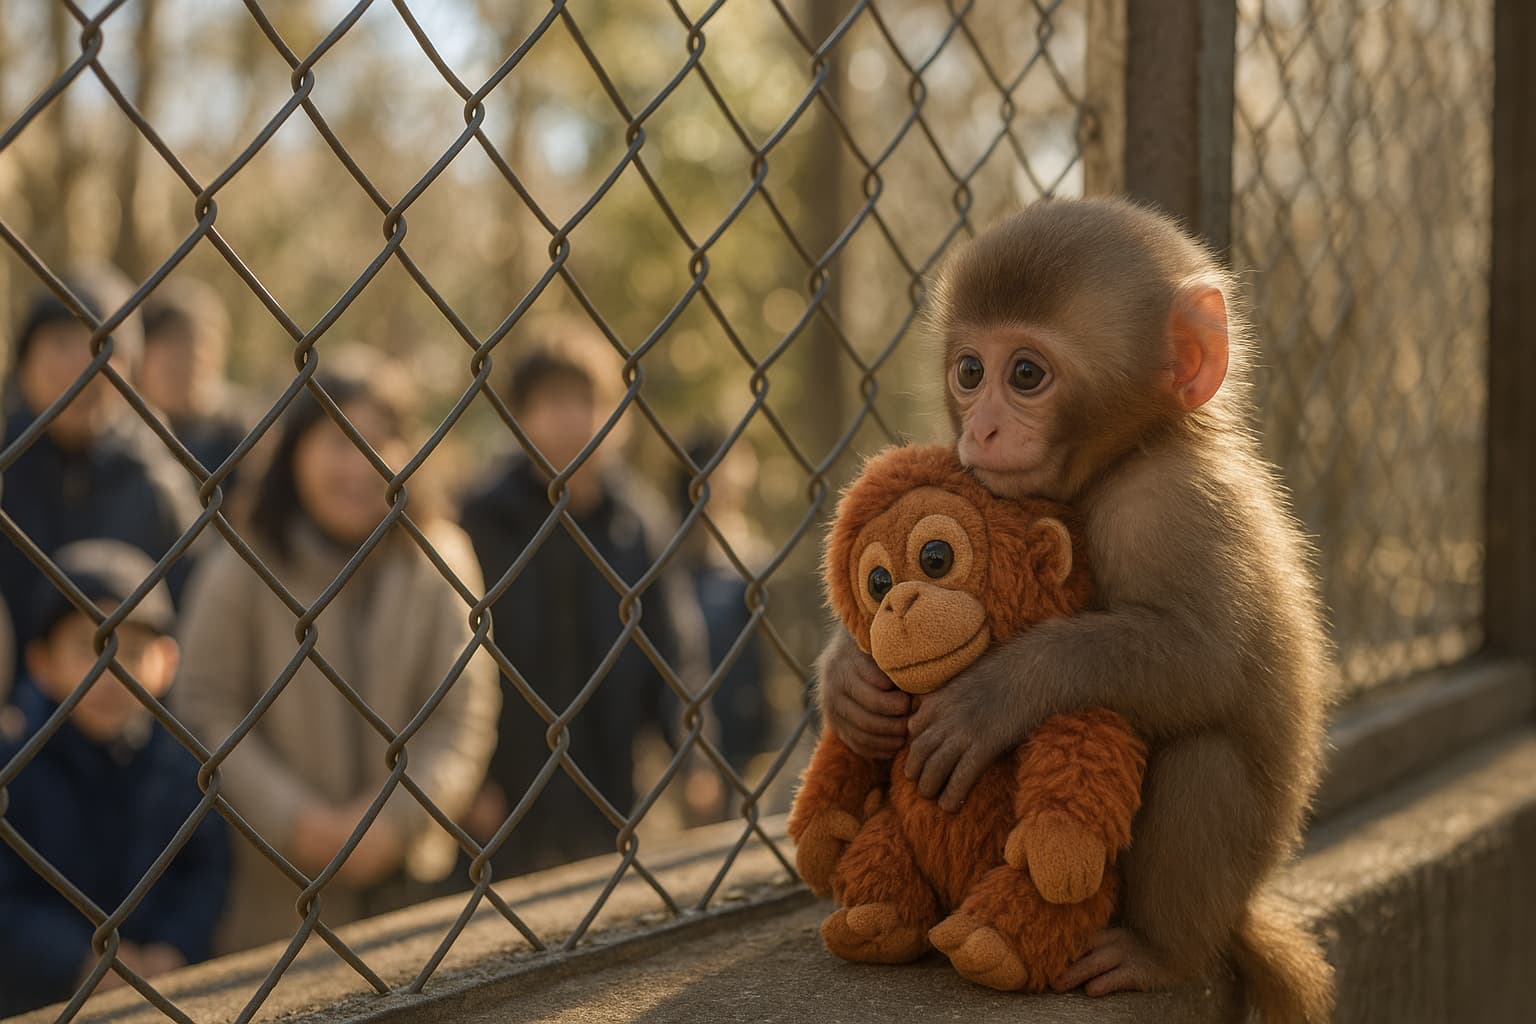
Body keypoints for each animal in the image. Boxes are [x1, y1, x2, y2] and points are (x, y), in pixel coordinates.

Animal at [815, 197, 1334, 1022]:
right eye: (970, 371)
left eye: (1026, 374)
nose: (980, 429)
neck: (1132, 451)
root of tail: (1242, 914)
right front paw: (848, 677)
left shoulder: (1166, 506)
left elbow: (1204, 661)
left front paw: (992, 698)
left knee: (1204, 760)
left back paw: (1157, 953)